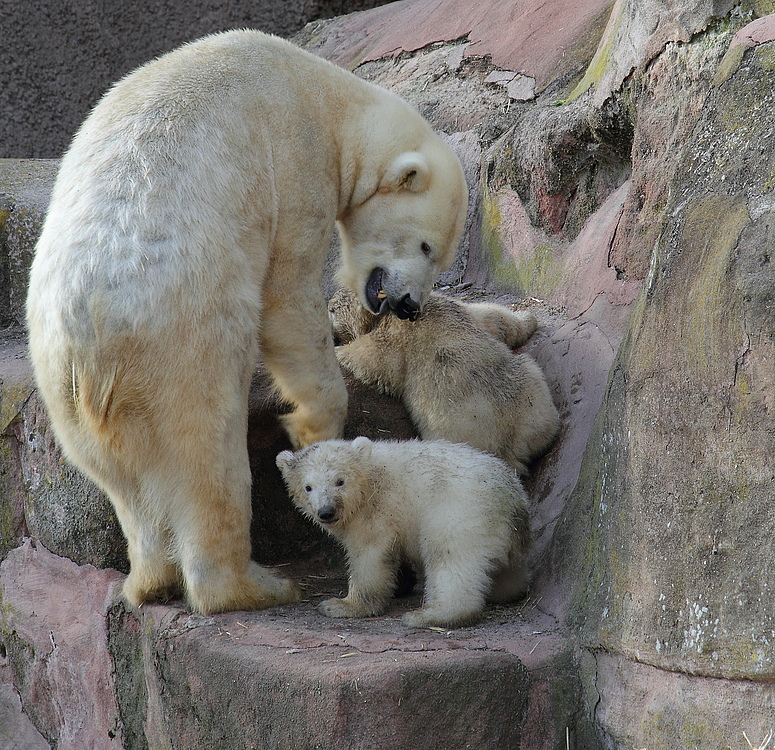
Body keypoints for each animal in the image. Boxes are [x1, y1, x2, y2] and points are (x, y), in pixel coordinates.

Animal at [25, 29, 466, 616]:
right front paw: (310, 428)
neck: (326, 93)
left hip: (63, 390)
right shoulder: (296, 158)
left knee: (124, 485)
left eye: (438, 257)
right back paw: (254, 586)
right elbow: (287, 294)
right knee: (210, 460)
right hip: (180, 347)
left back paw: (149, 582)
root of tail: (92, 343)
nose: (409, 305)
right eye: (426, 247)